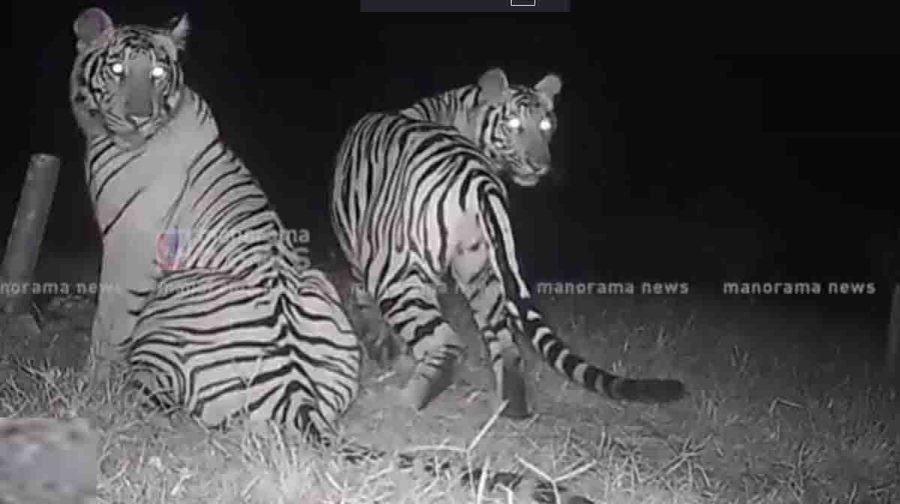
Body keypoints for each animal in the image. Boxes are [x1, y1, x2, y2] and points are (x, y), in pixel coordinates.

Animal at [331, 69, 687, 420]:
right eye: (514, 124)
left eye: (545, 125)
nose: (540, 165)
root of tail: (478, 177)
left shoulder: (365, 259)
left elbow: (362, 304)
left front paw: (384, 352)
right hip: (481, 273)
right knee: (507, 345)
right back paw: (511, 408)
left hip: (398, 274)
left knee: (446, 344)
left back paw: (404, 401)